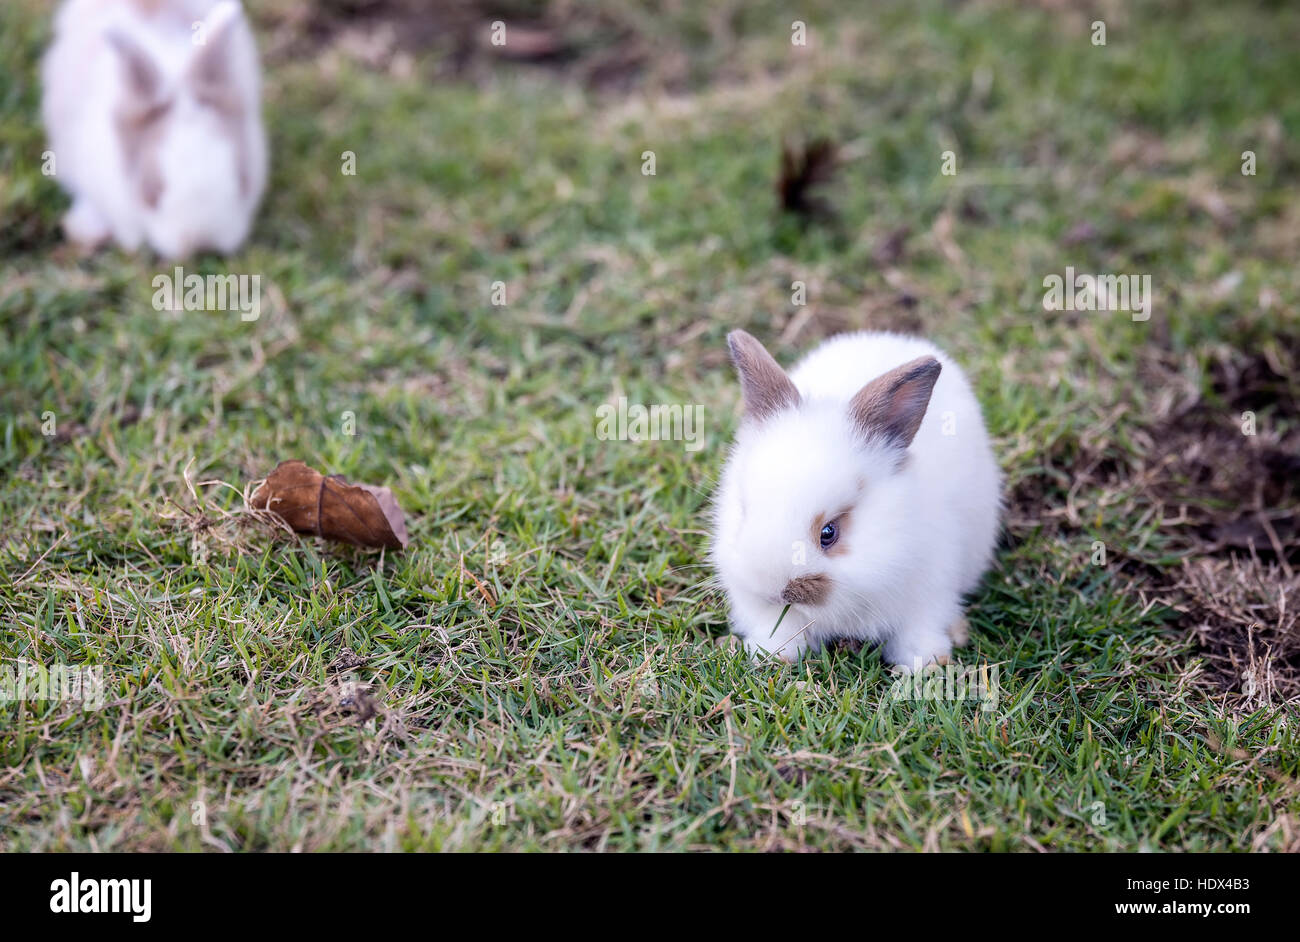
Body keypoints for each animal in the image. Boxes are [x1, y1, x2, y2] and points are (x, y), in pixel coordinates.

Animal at [712, 331, 1003, 670]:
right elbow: (781, 630)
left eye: (829, 533)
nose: (775, 592)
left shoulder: (929, 592)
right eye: (745, 512)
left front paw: (925, 662)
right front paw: (774, 654)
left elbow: (920, 629)